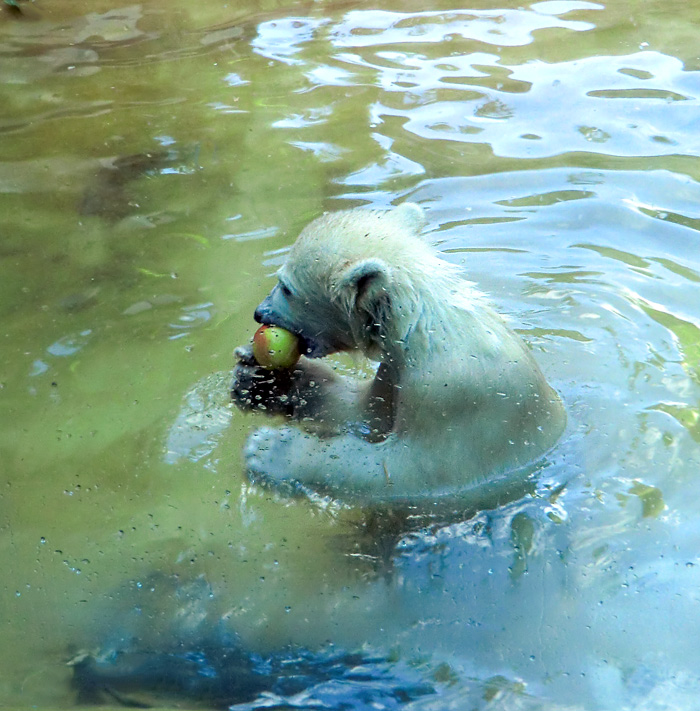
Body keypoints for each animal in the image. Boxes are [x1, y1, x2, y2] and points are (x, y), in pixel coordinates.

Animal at [232, 203, 568, 508]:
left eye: (286, 287)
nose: (258, 312)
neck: (428, 328)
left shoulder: (454, 394)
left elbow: (410, 472)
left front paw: (271, 449)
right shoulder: (395, 369)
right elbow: (363, 413)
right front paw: (260, 378)